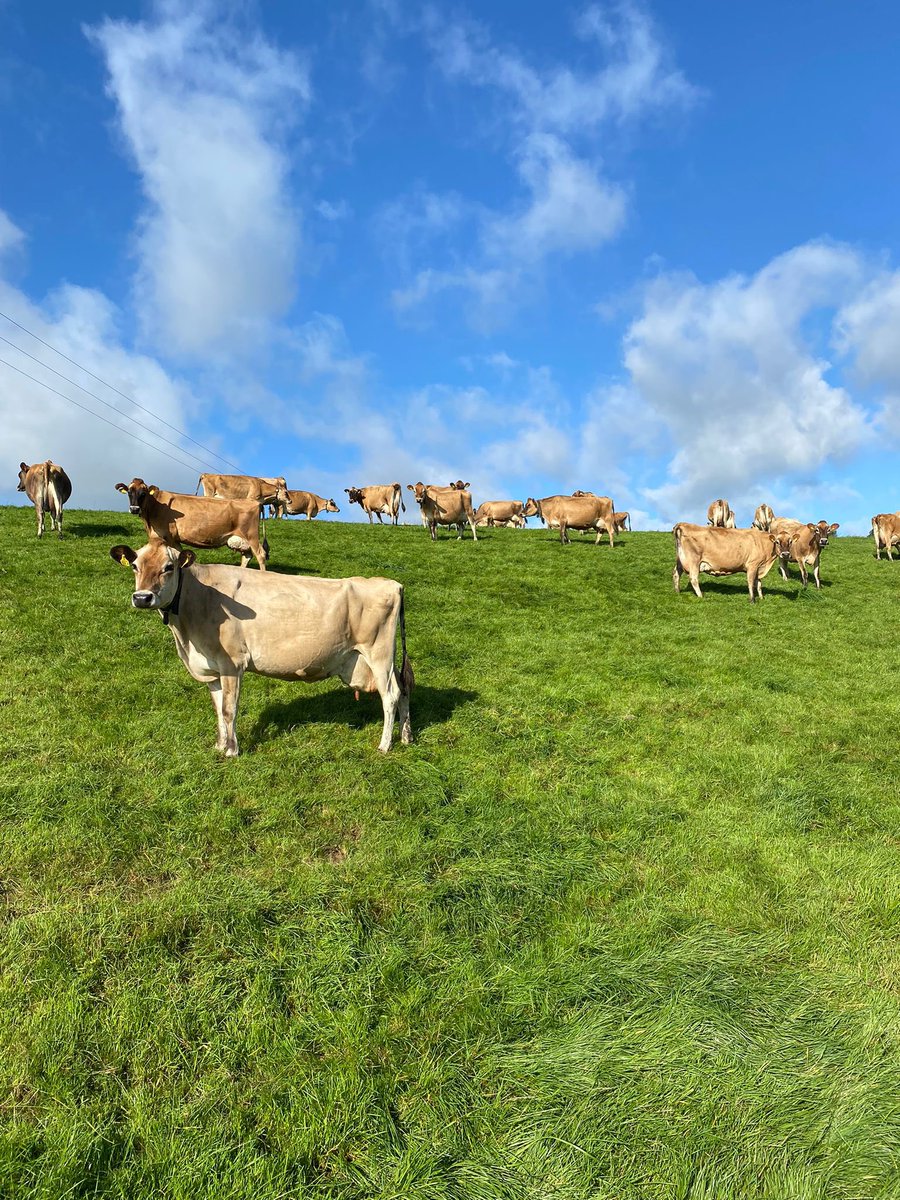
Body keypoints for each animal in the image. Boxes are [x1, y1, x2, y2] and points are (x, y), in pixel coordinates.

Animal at [109, 537, 413, 757]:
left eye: (168, 567)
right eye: (135, 566)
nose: (142, 597)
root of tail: (392, 584)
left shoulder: (232, 663)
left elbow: (229, 709)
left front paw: (232, 751)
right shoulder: (212, 668)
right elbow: (217, 709)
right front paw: (220, 745)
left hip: (378, 654)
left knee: (390, 695)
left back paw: (385, 745)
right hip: (385, 658)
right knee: (404, 688)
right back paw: (406, 736)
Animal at [115, 478, 268, 570]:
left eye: (144, 493)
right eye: (129, 492)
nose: (134, 509)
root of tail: (255, 502)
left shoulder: (167, 537)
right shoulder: (175, 539)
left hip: (252, 536)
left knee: (260, 554)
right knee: (247, 556)